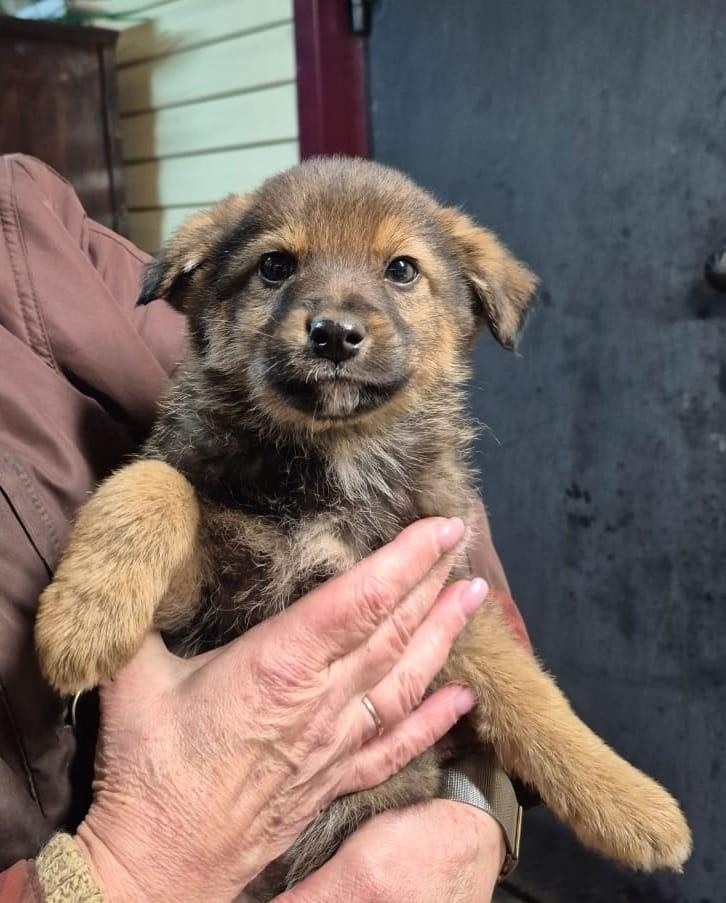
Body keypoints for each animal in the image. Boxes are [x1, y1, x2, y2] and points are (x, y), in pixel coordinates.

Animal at [35, 157, 691, 896]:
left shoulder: (445, 593)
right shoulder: (202, 600)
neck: (337, 456)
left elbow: (533, 695)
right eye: (275, 266)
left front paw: (636, 806)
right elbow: (156, 482)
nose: (334, 334)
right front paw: (83, 618)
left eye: (401, 269)